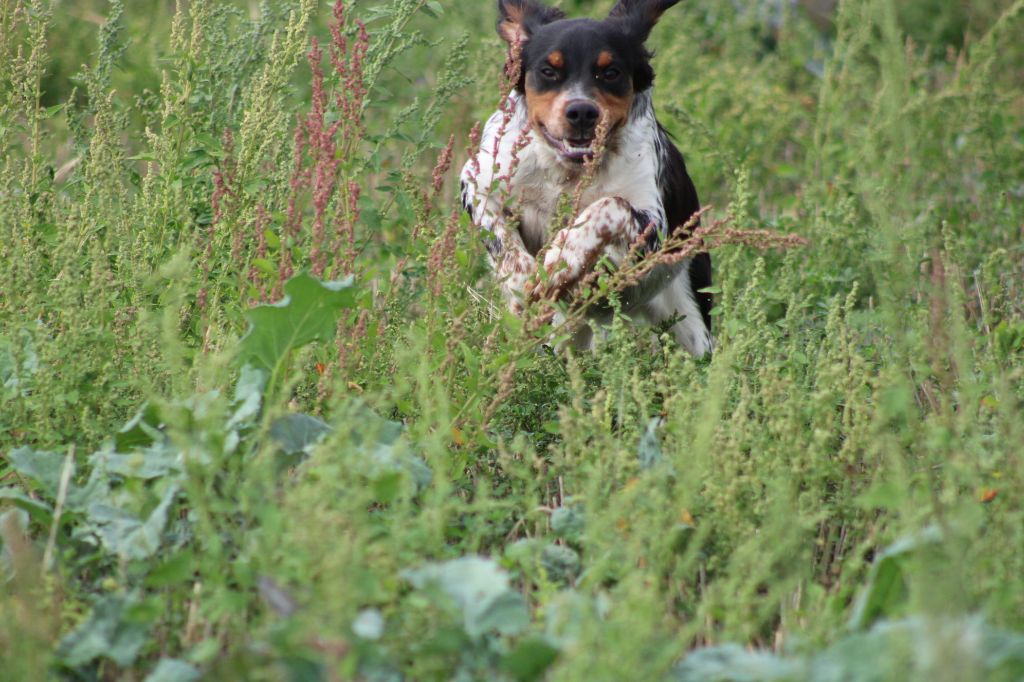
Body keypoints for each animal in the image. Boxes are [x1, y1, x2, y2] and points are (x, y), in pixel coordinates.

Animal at [462, 1, 712, 356]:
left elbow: (608, 206)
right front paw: (522, 282)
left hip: (691, 323)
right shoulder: (477, 182)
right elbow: (499, 236)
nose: (581, 112)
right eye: (548, 71)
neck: (568, 171)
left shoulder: (654, 226)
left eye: (610, 72)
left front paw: (560, 259)